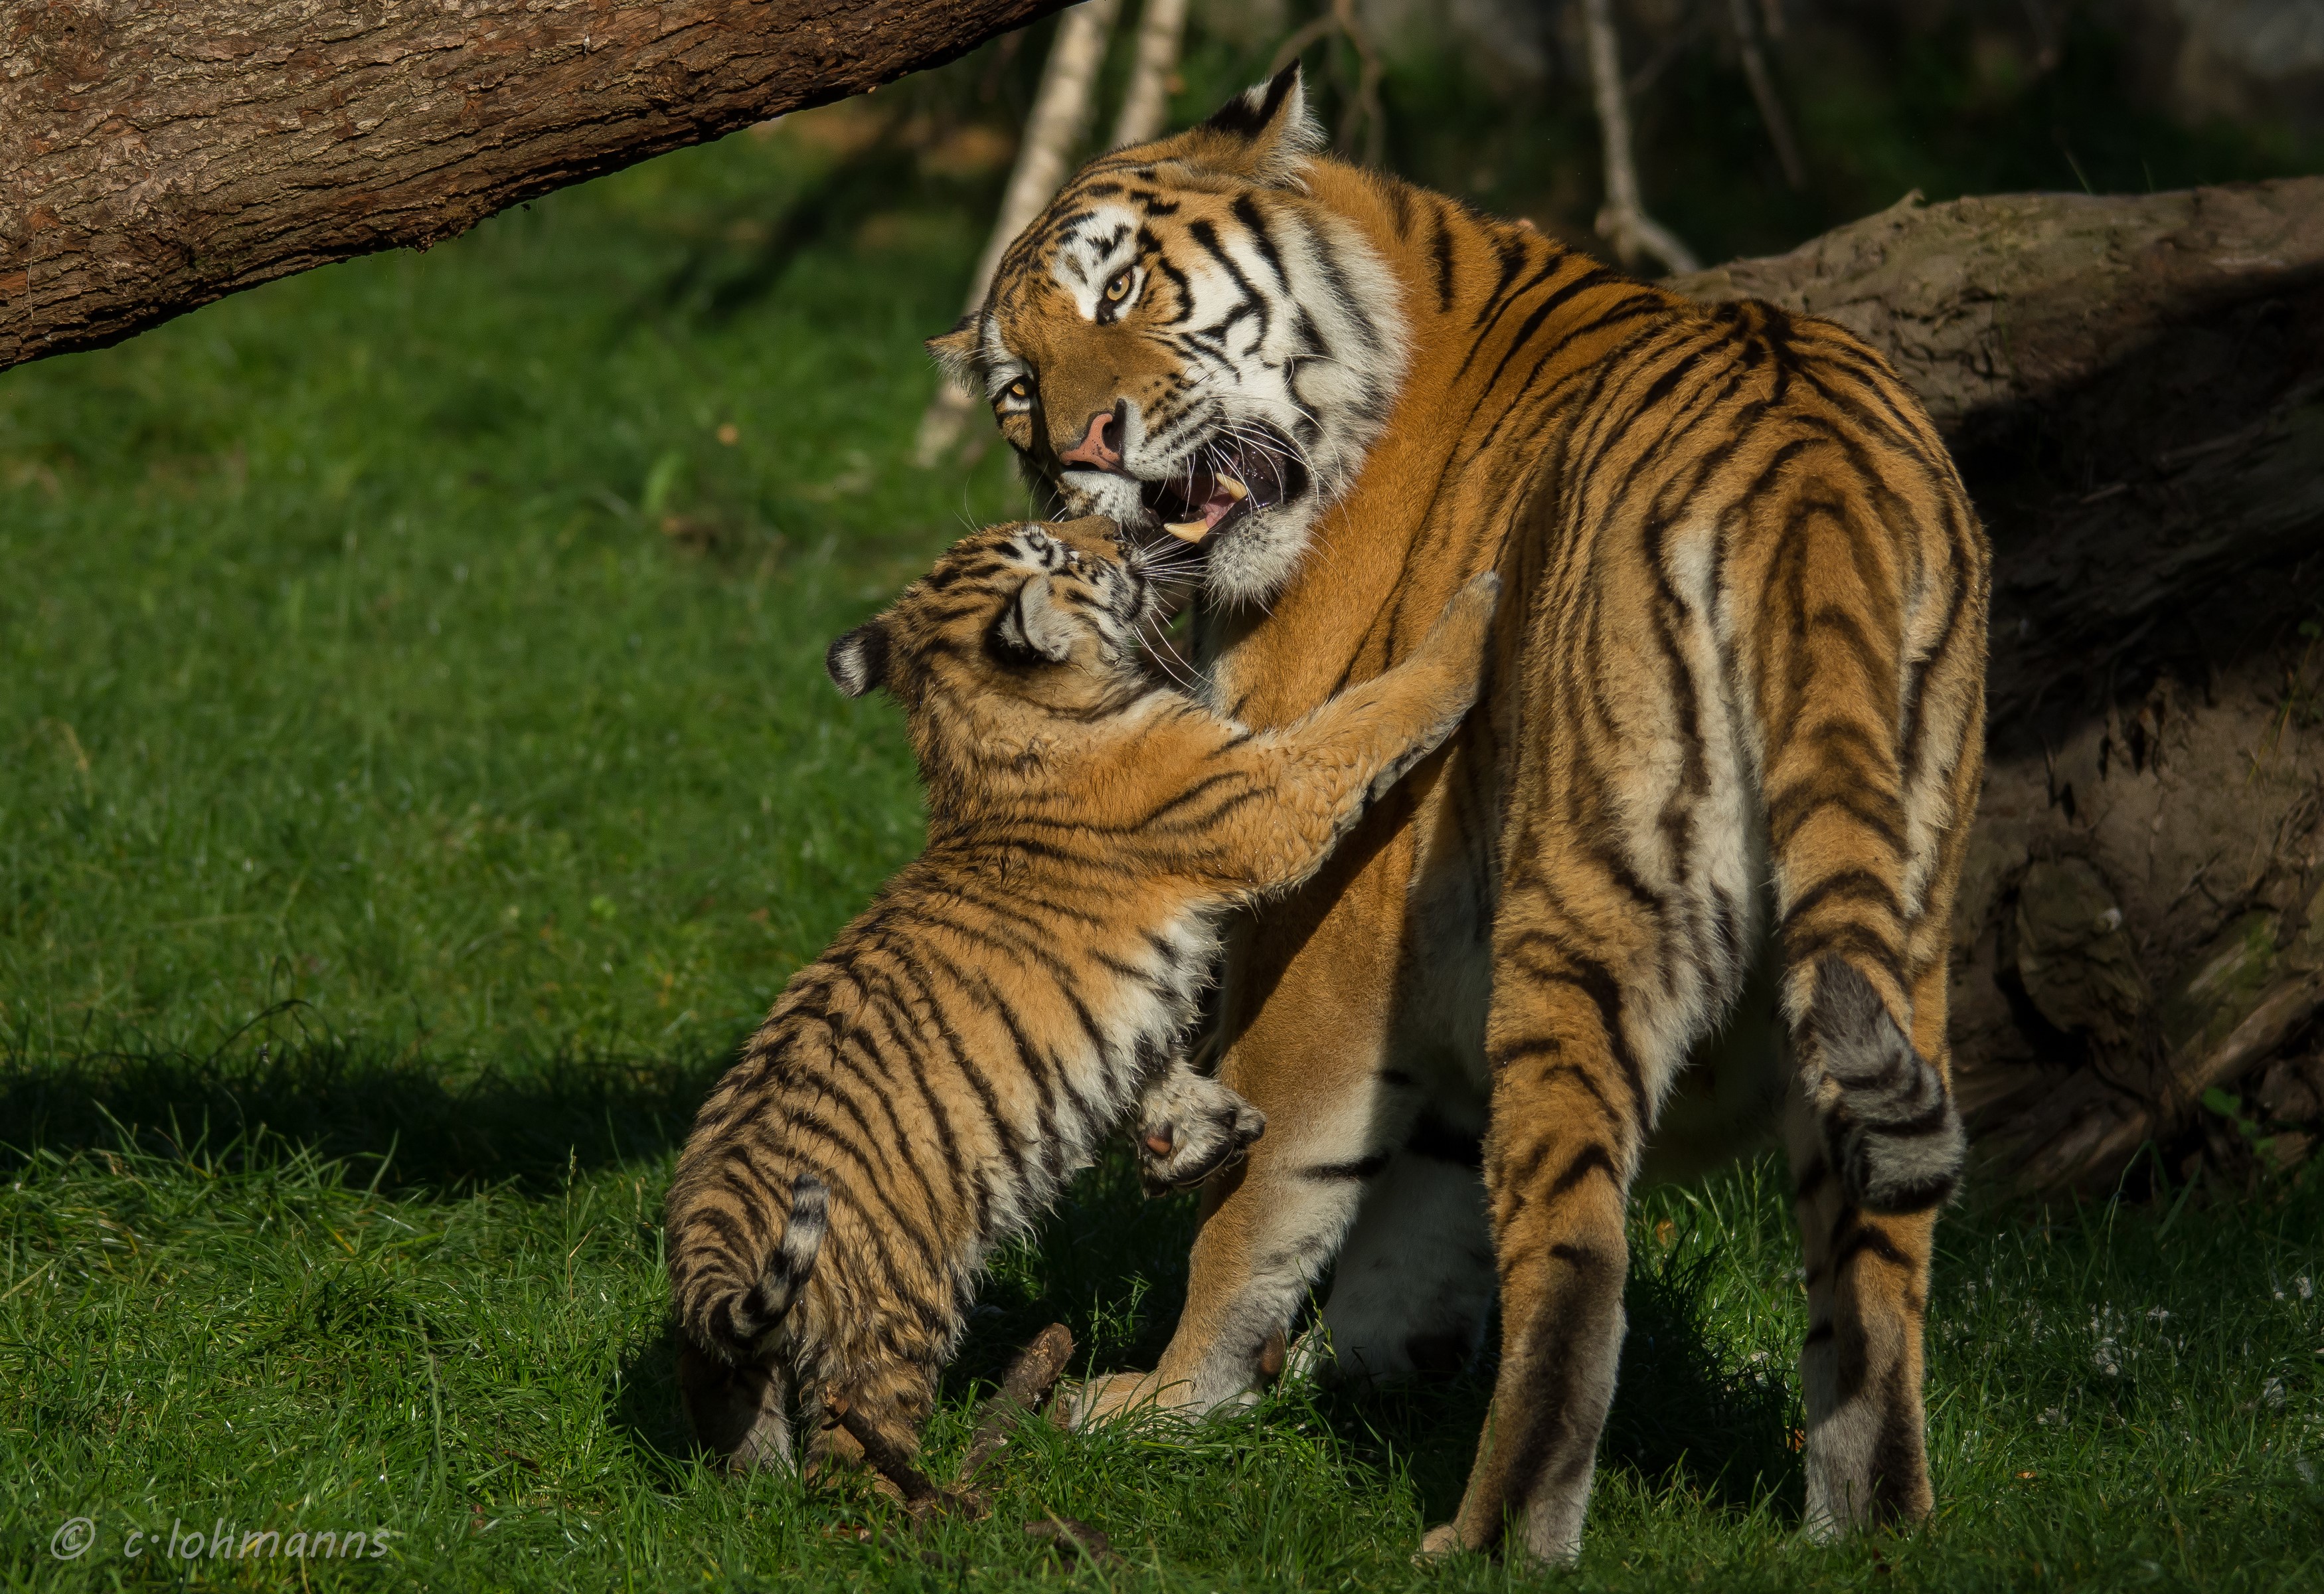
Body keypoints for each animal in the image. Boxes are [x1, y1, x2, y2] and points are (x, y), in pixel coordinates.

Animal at [665, 513, 1501, 1475]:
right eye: (1063, 554)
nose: (1119, 524)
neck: (974, 720)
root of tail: (710, 1228)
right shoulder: (1271, 791)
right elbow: (1372, 712)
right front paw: (1477, 606)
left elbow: (1151, 1067)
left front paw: (1198, 1137)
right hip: (883, 1308)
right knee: (851, 1448)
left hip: (733, 1379)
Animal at [927, 67, 1988, 1560]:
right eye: (1017, 391)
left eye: (1121, 287)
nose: (1079, 448)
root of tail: (1812, 476)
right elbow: (1415, 1199)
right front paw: (1364, 1361)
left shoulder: (1327, 917)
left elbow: (1263, 1193)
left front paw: (1167, 1400)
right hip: (1900, 943)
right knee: (1879, 1276)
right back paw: (1867, 1535)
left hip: (1585, 918)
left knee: (1578, 1257)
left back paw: (1488, 1540)